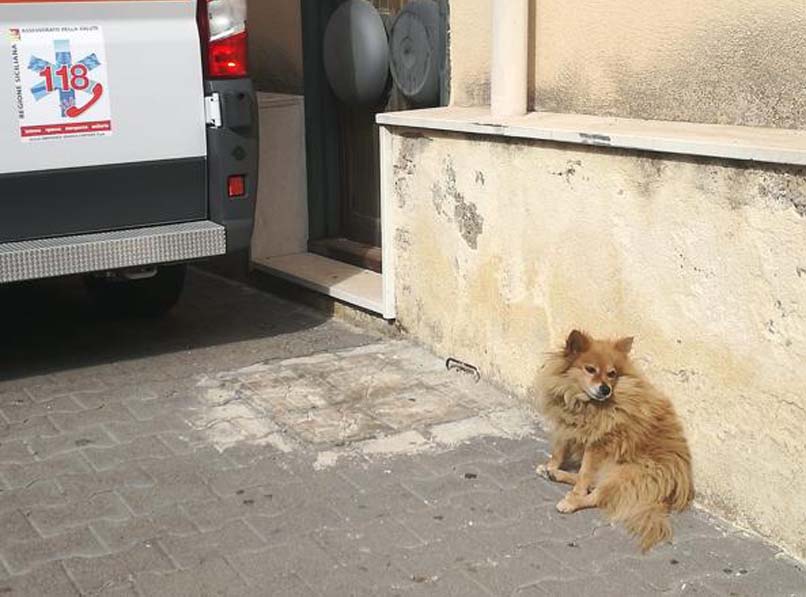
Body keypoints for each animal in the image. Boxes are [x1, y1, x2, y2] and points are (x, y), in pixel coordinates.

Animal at [536, 328, 696, 552]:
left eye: (612, 374)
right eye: (590, 369)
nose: (605, 389)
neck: (585, 404)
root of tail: (668, 494)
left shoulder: (598, 444)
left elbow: (585, 474)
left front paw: (575, 495)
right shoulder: (566, 427)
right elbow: (559, 452)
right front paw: (552, 466)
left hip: (625, 473)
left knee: (598, 495)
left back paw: (571, 501)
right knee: (595, 484)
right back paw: (554, 474)